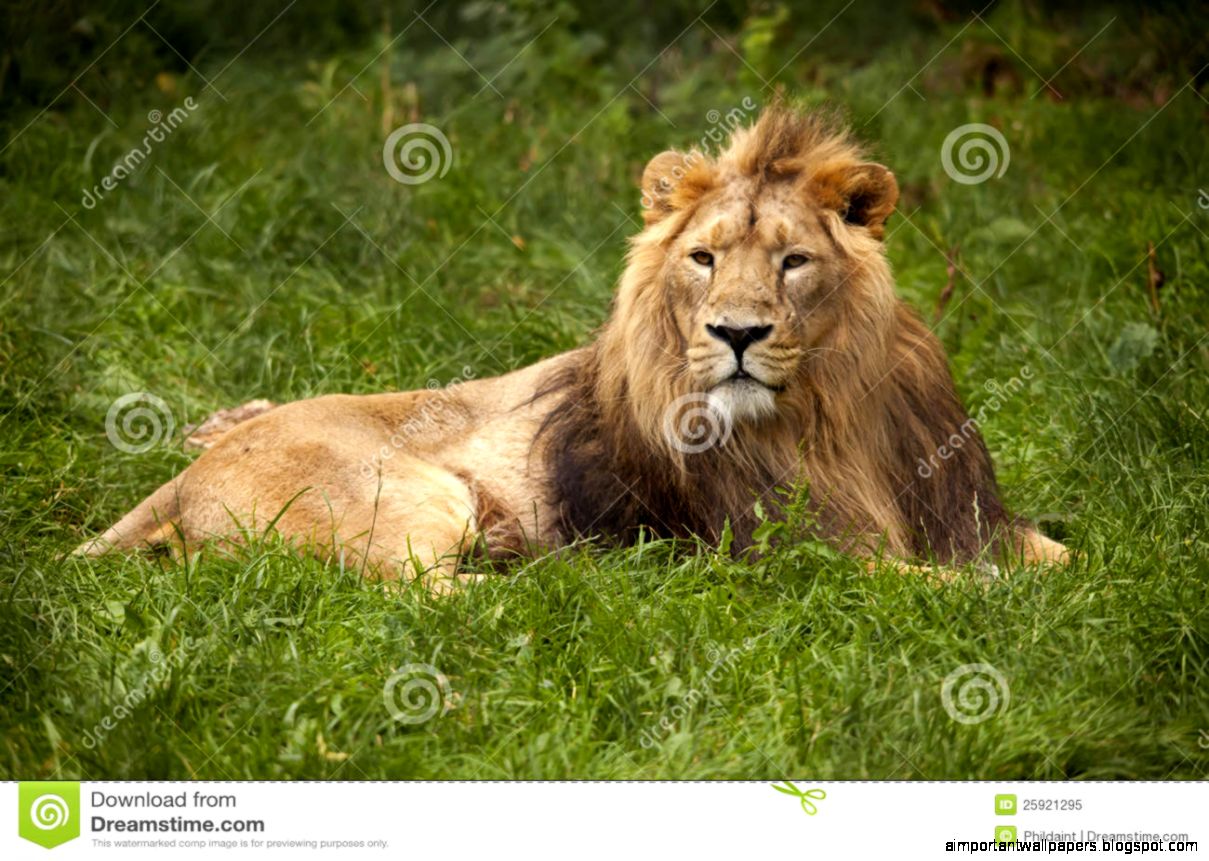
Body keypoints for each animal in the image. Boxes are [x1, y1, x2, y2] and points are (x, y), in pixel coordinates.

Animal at [77, 106, 1068, 590]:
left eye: (792, 262)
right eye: (704, 258)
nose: (736, 334)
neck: (826, 416)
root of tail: (182, 477)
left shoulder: (966, 513)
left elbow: (1071, 560)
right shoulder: (801, 557)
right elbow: (953, 590)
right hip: (408, 498)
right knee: (418, 595)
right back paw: (569, 587)